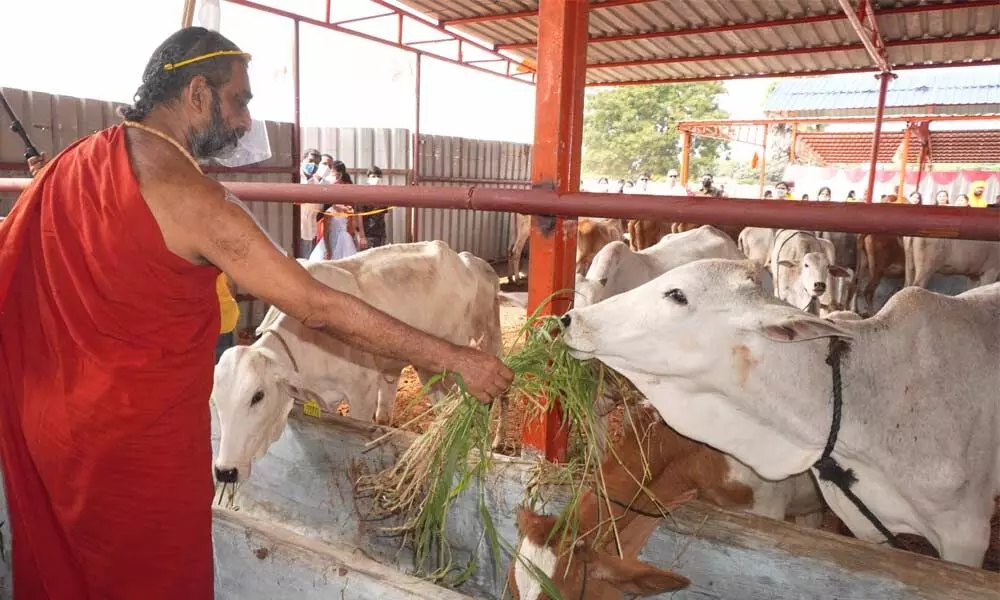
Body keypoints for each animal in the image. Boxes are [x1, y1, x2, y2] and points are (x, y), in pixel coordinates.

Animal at [214, 240, 504, 482]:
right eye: (216, 401)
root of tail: (466, 261)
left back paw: (493, 441)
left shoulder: (361, 392)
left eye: (257, 396)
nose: (225, 471)